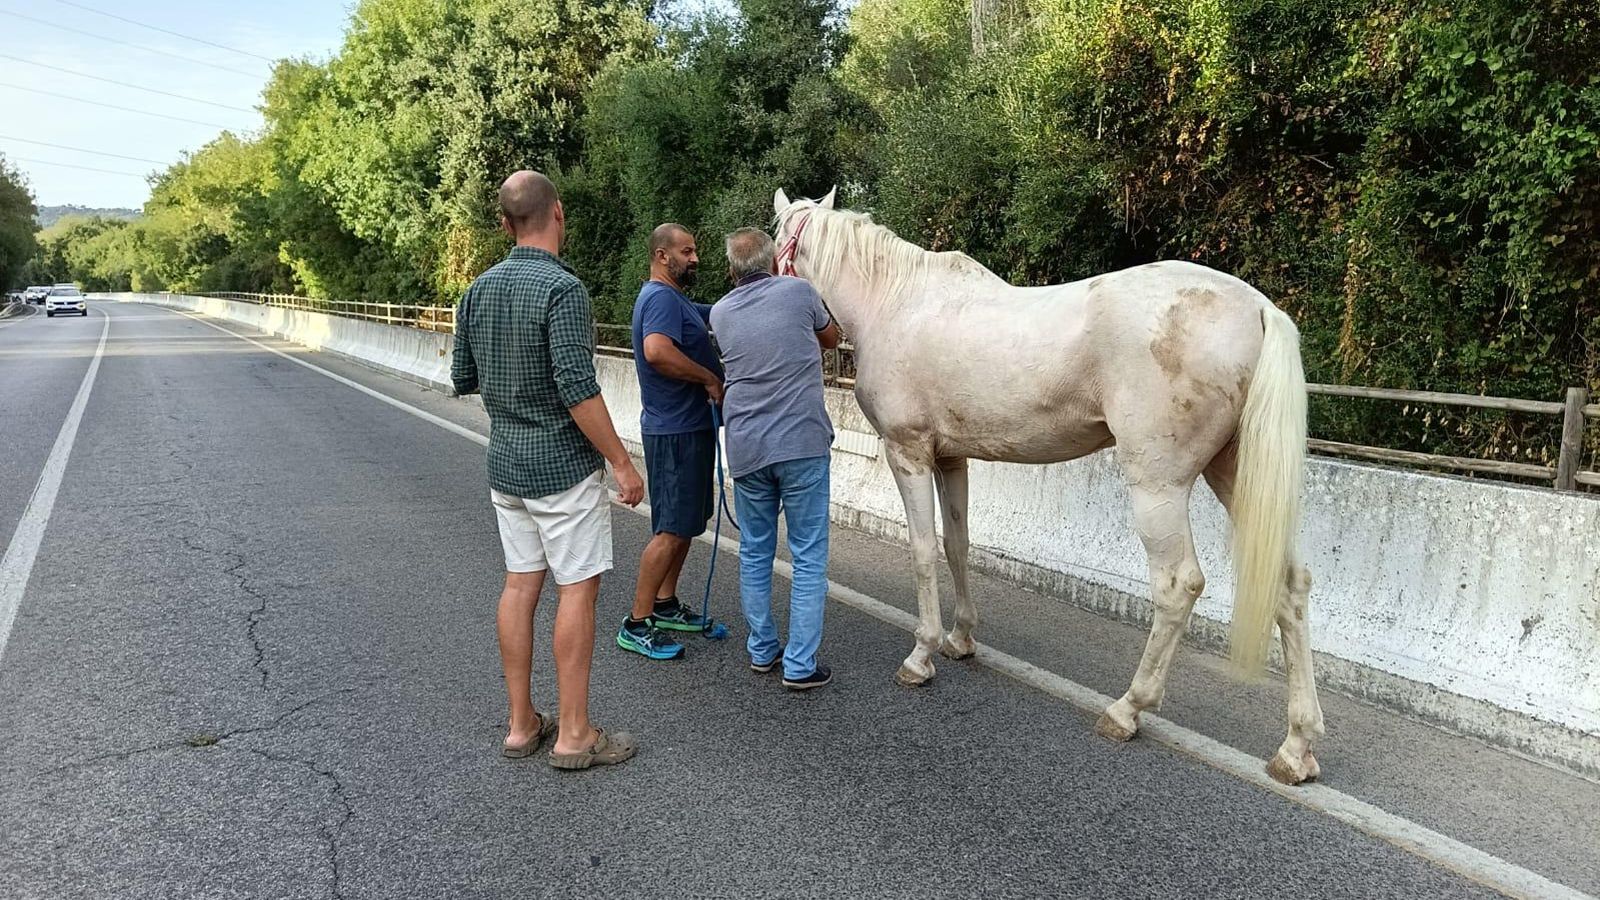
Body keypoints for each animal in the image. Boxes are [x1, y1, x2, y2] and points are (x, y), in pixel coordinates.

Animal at [772, 188, 1325, 785]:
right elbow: (957, 545)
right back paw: (1296, 747)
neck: (894, 302)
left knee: (1178, 586)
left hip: (1158, 484)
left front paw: (921, 656)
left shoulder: (909, 455)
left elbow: (921, 551)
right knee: (1289, 587)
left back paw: (1128, 708)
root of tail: (1258, 309)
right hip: (1233, 474)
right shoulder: (952, 460)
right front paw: (961, 639)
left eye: (777, 242)